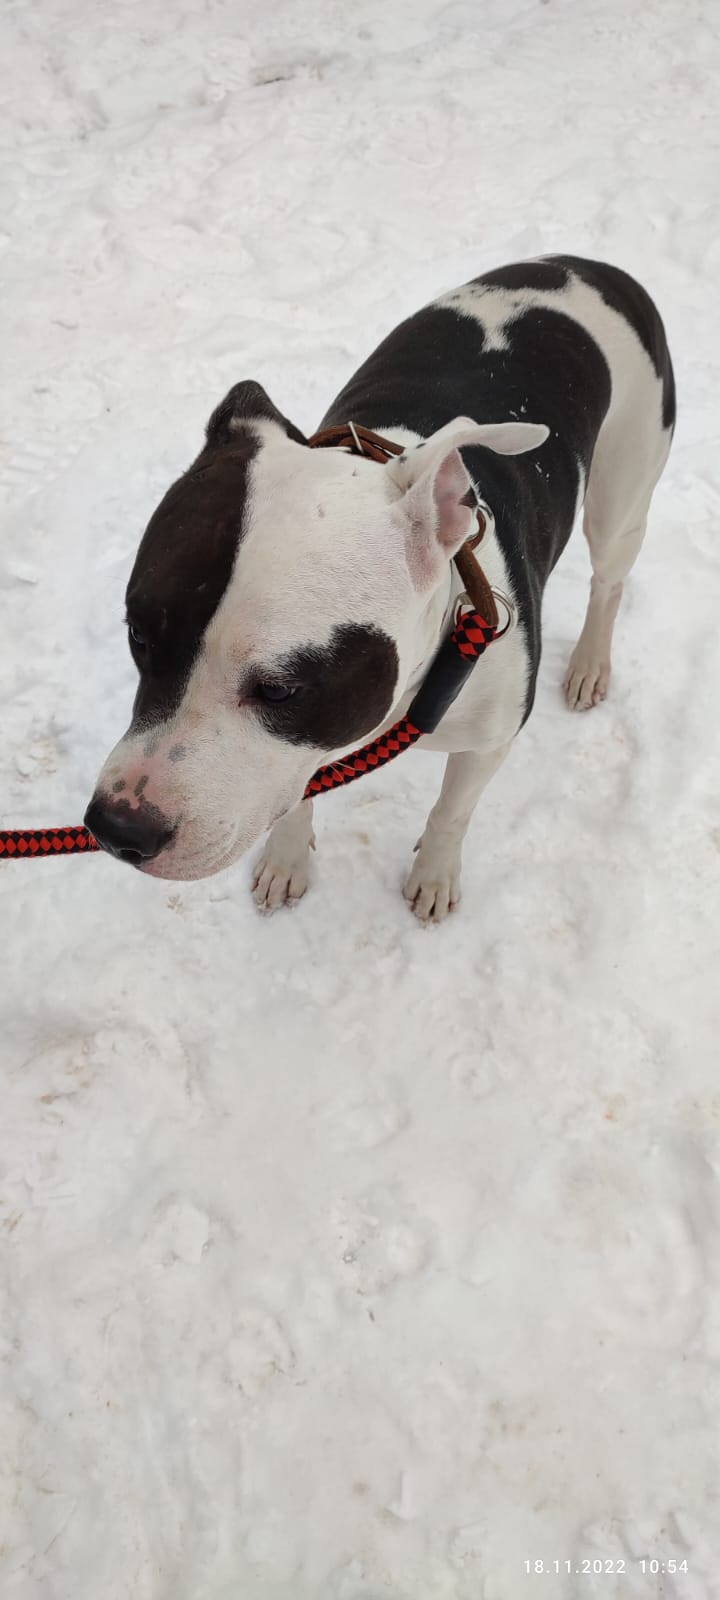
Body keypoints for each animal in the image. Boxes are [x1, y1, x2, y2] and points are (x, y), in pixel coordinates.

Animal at [85, 254, 674, 920]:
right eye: (138, 637)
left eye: (279, 689)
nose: (117, 827)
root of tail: (590, 265)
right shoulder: (314, 738)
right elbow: (296, 794)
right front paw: (287, 860)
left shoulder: (485, 742)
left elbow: (452, 811)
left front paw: (435, 875)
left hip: (623, 492)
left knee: (609, 580)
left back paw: (588, 665)